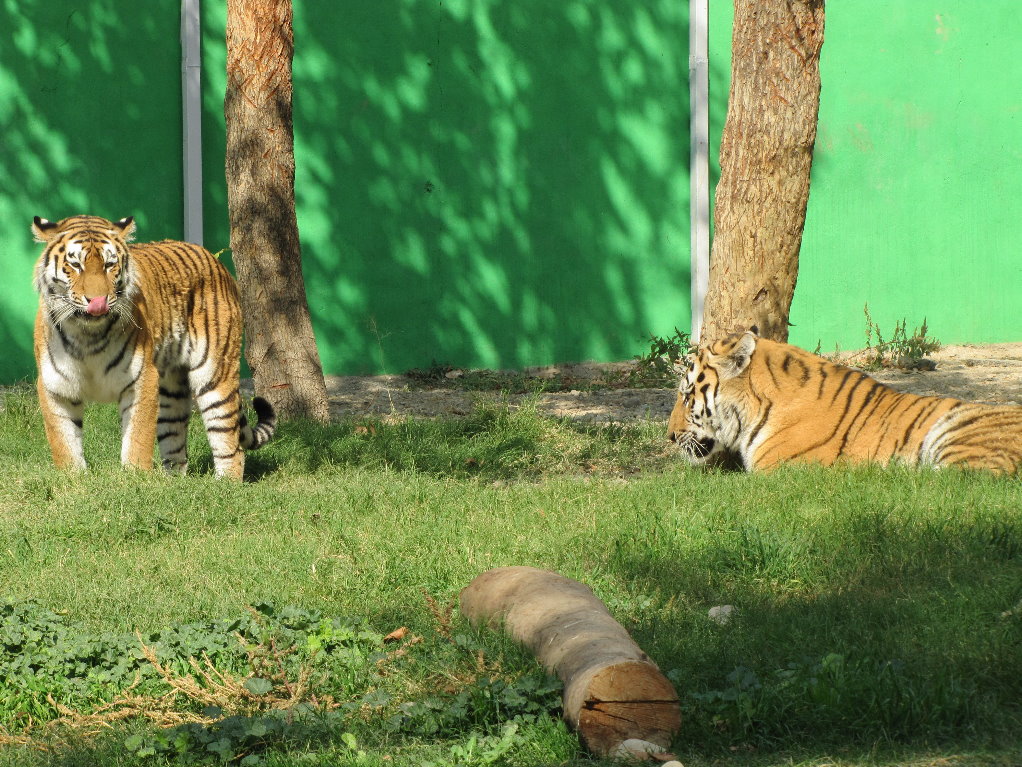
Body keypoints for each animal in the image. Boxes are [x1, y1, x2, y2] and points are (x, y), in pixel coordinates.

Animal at [32, 214, 276, 480]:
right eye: (76, 265)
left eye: (109, 265)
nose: (98, 301)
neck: (88, 334)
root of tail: (214, 259)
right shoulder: (56, 386)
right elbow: (64, 442)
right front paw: (73, 478)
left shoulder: (141, 379)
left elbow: (137, 438)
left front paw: (134, 479)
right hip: (171, 389)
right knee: (175, 442)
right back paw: (172, 482)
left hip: (215, 373)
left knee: (229, 440)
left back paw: (225, 484)